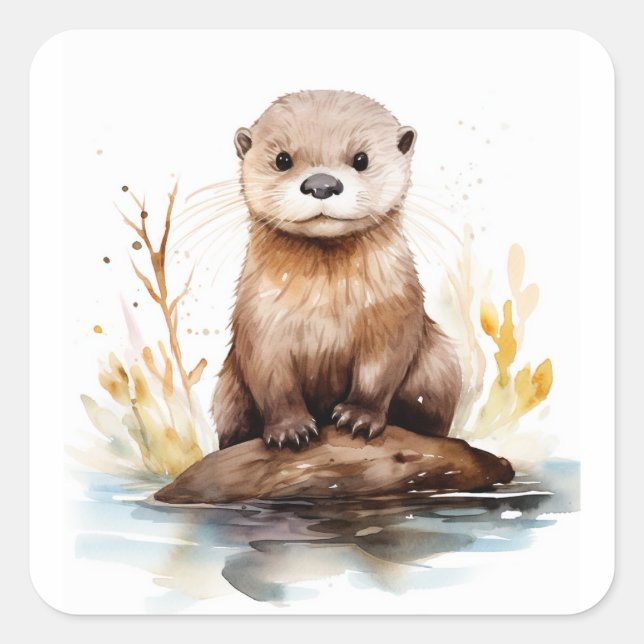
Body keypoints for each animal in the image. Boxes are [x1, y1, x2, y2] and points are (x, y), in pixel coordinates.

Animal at [211, 90, 461, 450]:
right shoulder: (258, 320)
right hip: (226, 394)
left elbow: (380, 369)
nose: (322, 184)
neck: (327, 311)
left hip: (441, 364)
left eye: (361, 159)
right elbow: (271, 378)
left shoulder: (395, 312)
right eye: (282, 159)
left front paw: (359, 416)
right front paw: (290, 429)